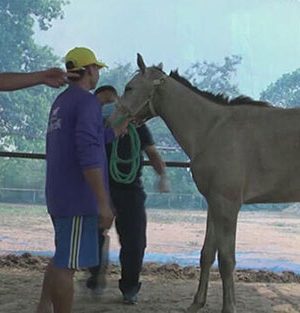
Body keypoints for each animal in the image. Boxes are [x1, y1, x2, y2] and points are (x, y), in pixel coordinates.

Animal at [116, 53, 300, 312]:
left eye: (129, 87)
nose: (111, 120)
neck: (212, 129)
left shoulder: (227, 205)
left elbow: (226, 260)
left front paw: (229, 306)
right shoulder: (214, 203)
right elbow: (207, 254)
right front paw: (197, 302)